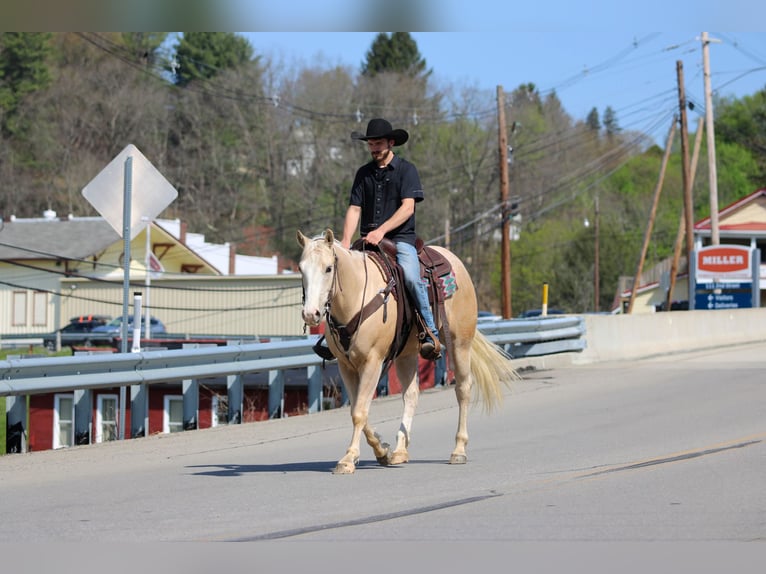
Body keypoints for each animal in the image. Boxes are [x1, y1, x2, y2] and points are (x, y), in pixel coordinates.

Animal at [297, 229, 518, 474]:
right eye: (301, 268)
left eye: (328, 268)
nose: (311, 314)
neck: (356, 297)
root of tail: (455, 261)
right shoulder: (346, 366)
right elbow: (357, 408)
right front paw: (382, 450)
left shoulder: (372, 362)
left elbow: (359, 412)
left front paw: (348, 458)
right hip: (407, 354)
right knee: (411, 395)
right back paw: (400, 451)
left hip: (460, 343)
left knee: (463, 389)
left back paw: (459, 450)